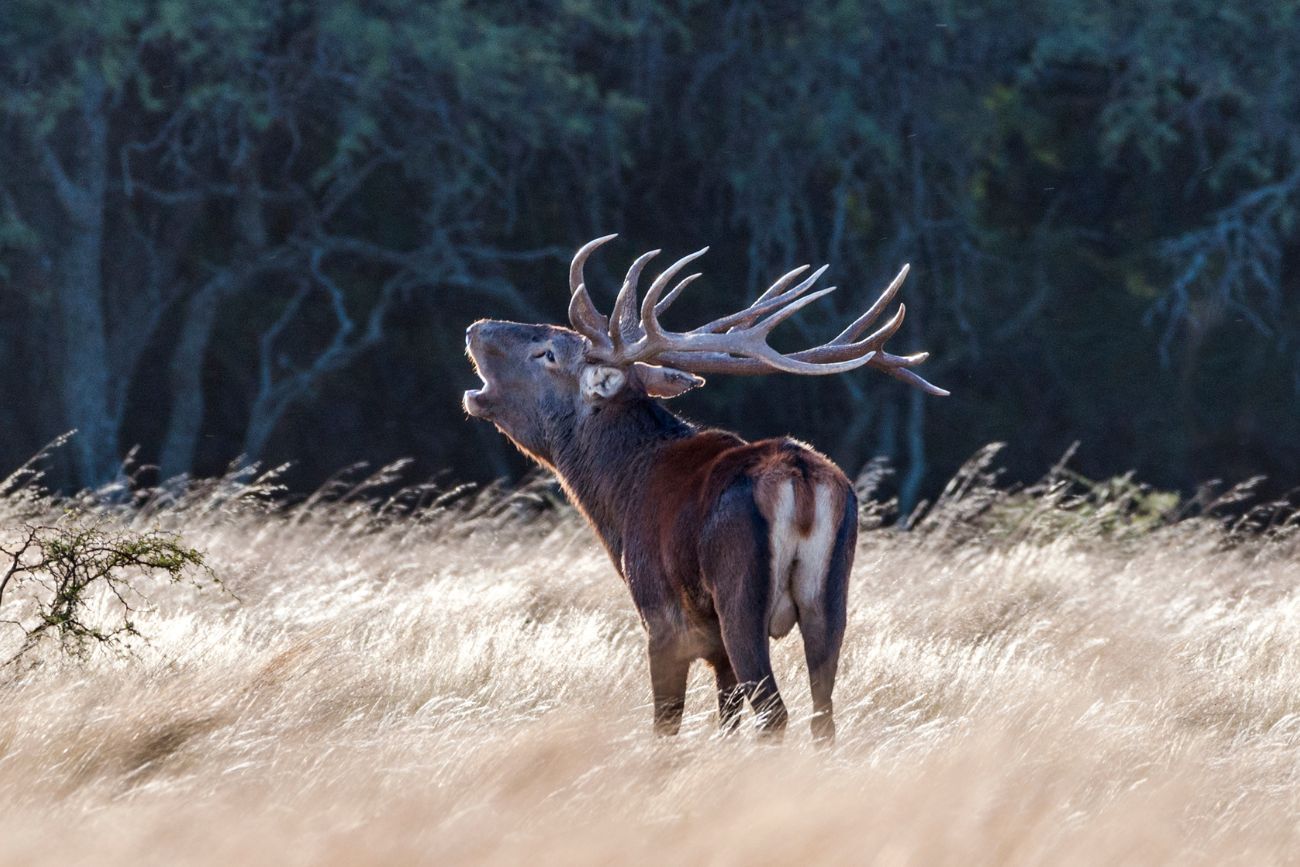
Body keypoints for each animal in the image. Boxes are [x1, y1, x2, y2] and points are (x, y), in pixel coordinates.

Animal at [463, 235, 947, 742]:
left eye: (549, 353)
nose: (476, 328)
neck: (620, 498)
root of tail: (801, 481)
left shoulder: (663, 619)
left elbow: (665, 726)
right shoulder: (713, 645)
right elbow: (726, 722)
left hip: (739, 596)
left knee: (775, 713)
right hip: (830, 596)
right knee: (823, 716)